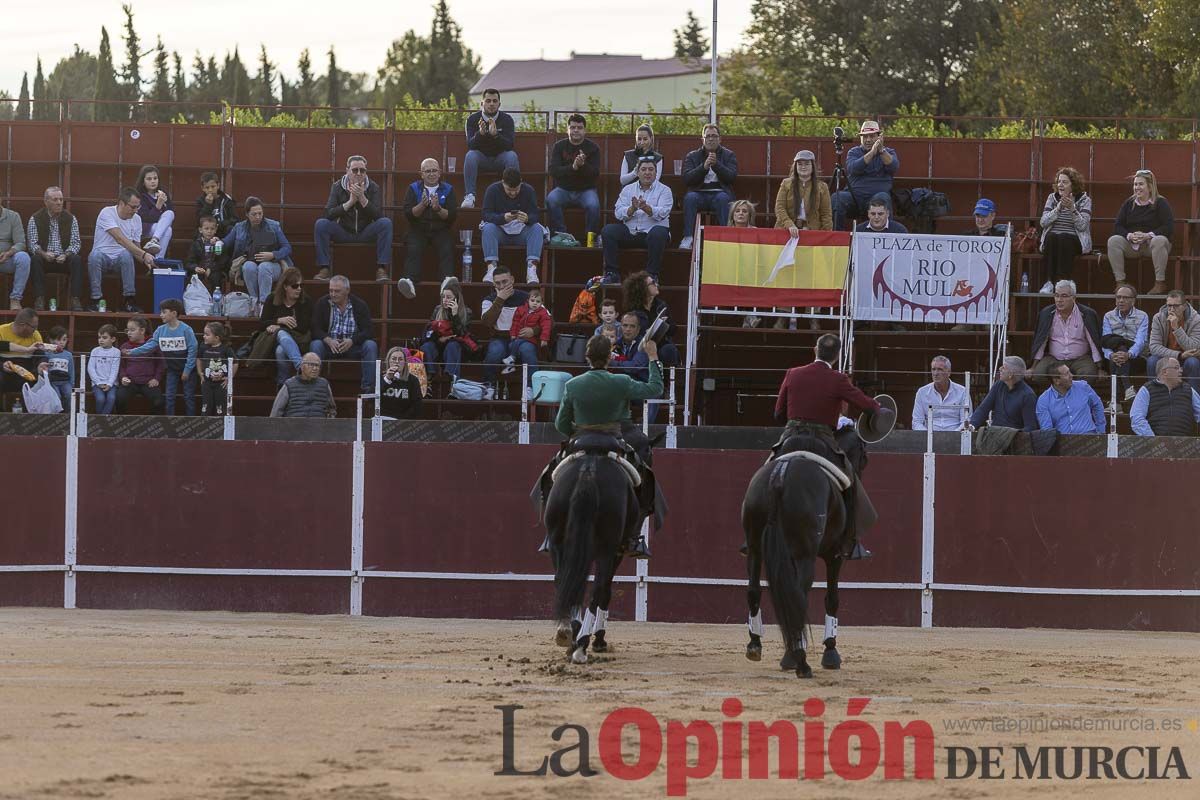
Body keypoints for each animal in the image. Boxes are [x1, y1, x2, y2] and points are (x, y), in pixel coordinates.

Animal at [547, 450, 643, 662]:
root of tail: (589, 470)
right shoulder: (615, 552)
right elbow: (606, 591)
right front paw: (599, 639)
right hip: (607, 549)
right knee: (598, 588)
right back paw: (582, 644)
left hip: (558, 542)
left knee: (566, 582)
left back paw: (568, 635)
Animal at [739, 424, 864, 676]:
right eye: (863, 458)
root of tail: (780, 477)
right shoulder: (834, 556)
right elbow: (832, 598)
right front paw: (830, 652)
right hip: (805, 554)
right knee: (798, 596)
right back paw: (800, 660)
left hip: (755, 547)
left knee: (754, 590)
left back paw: (756, 645)